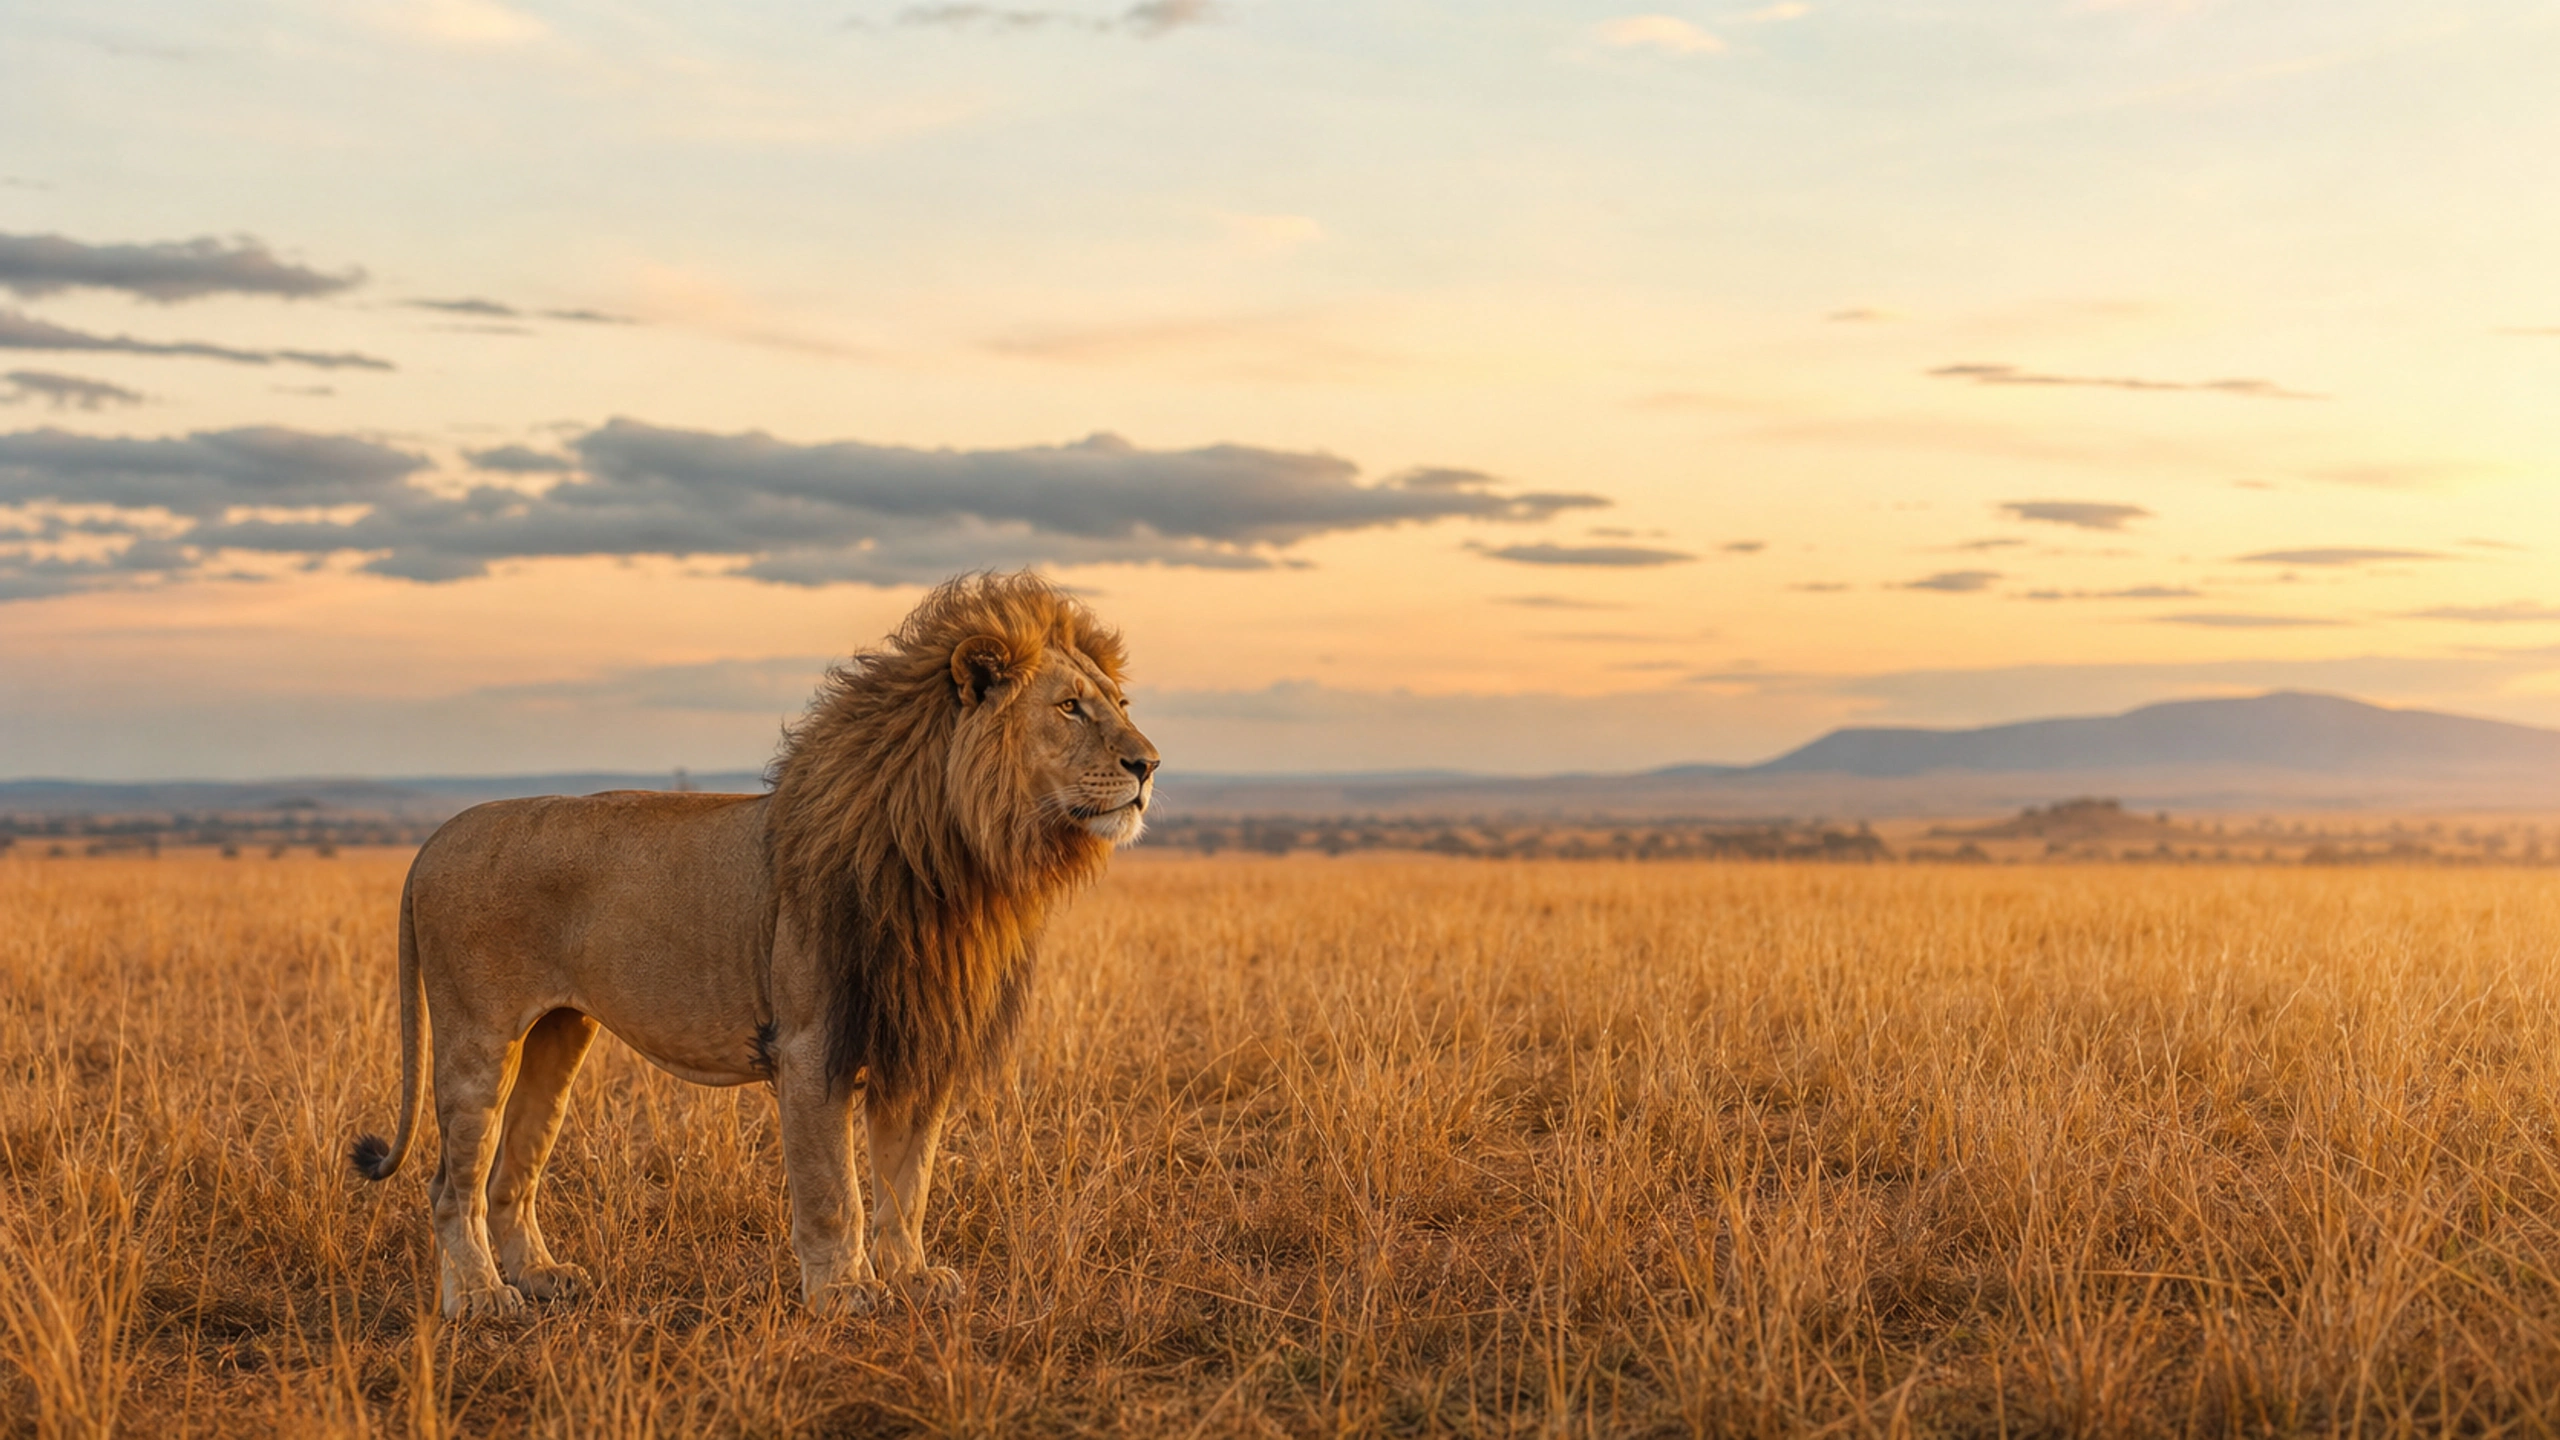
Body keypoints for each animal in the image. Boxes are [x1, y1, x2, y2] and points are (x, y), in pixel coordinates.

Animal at [348, 572, 1159, 1319]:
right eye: (1068, 707)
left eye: (1120, 707)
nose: (1149, 764)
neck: (959, 861)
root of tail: (434, 839)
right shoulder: (809, 1046)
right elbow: (835, 1189)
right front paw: (845, 1293)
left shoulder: (915, 1041)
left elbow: (910, 1181)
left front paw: (912, 1280)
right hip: (477, 1038)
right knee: (451, 1184)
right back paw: (481, 1299)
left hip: (557, 1036)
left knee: (510, 1172)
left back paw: (543, 1278)